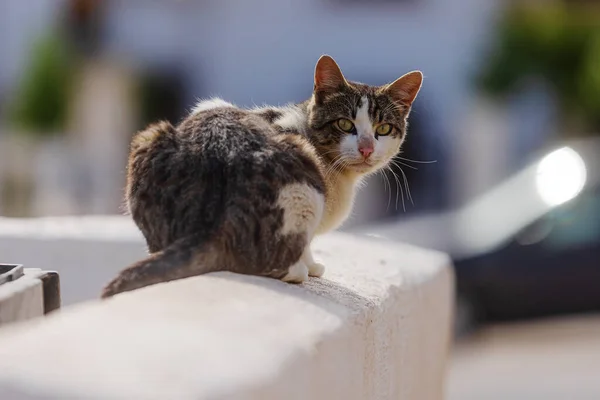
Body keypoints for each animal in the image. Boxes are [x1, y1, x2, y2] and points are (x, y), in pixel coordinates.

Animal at [99, 54, 422, 298]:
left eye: (383, 129)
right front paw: (311, 265)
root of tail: (209, 221)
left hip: (149, 139)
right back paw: (297, 270)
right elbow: (305, 244)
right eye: (345, 124)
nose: (366, 148)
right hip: (302, 186)